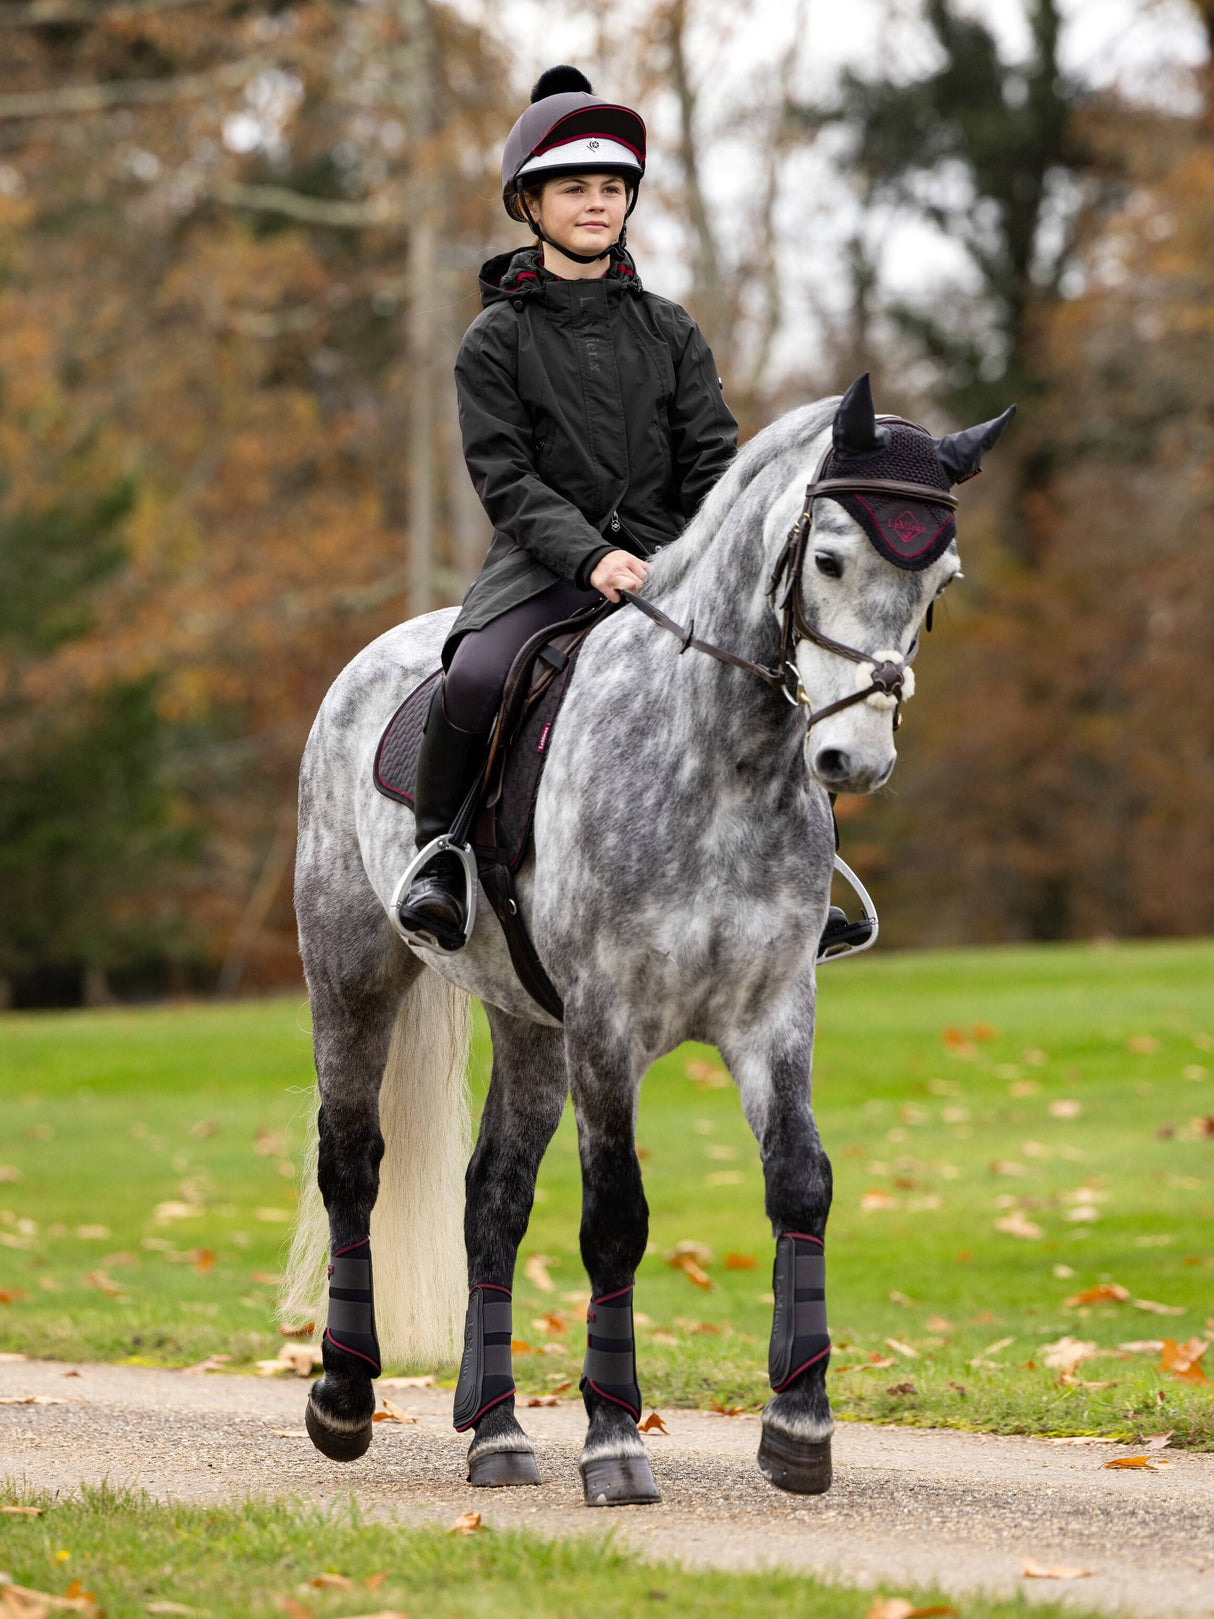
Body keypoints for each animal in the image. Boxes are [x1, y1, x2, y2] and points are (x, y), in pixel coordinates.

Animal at [284, 375, 1016, 1502]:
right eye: (829, 558)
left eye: (940, 579)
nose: (853, 758)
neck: (720, 761)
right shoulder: (607, 1025)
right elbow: (615, 1218)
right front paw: (616, 1441)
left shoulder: (772, 1014)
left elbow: (801, 1180)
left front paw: (799, 1425)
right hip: (355, 976)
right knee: (352, 1163)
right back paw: (344, 1399)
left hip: (528, 1023)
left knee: (492, 1198)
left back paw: (495, 1431)